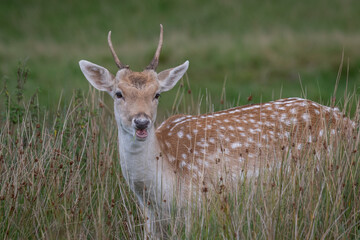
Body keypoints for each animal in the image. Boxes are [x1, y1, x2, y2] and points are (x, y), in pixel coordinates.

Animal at [79, 24, 354, 232]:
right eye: (118, 93)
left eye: (157, 94)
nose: (141, 121)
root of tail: (348, 121)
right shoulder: (150, 218)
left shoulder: (202, 205)